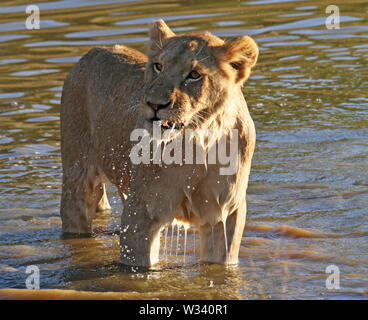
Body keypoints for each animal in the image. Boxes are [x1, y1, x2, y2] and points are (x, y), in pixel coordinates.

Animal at [59, 18, 258, 266]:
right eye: (158, 66)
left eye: (194, 74)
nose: (154, 104)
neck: (196, 141)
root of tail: (93, 51)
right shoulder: (142, 210)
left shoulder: (225, 212)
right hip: (77, 174)